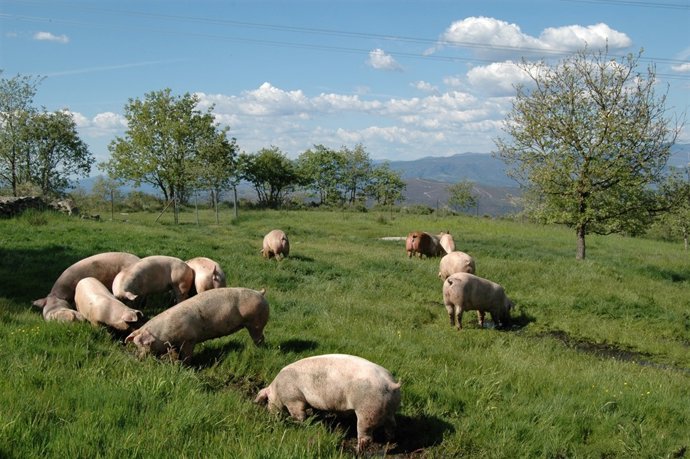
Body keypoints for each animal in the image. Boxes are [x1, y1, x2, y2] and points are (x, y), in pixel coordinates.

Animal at [125, 287, 269, 361]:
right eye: (136, 345)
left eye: (146, 345)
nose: (138, 357)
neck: (164, 335)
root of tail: (259, 292)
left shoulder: (190, 339)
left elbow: (187, 355)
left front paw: (184, 365)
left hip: (256, 323)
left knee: (260, 338)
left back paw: (257, 349)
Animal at [255, 354, 401, 453]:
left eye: (267, 401)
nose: (271, 417)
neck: (277, 389)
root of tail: (391, 384)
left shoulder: (293, 399)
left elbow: (299, 414)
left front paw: (299, 424)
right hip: (390, 410)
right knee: (392, 426)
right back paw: (389, 441)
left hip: (367, 410)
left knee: (366, 436)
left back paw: (357, 450)